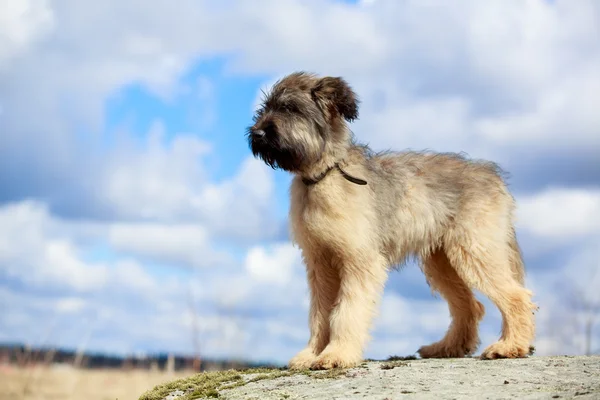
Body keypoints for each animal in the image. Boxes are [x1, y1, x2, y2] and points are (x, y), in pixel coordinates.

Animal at [246, 71, 536, 368]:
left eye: (290, 108)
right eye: (265, 108)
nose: (256, 133)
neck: (324, 175)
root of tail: (494, 177)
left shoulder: (359, 260)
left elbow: (346, 311)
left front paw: (336, 354)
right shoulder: (320, 262)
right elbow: (320, 313)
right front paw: (311, 354)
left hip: (475, 250)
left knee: (517, 297)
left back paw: (510, 346)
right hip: (443, 261)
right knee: (470, 306)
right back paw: (447, 347)